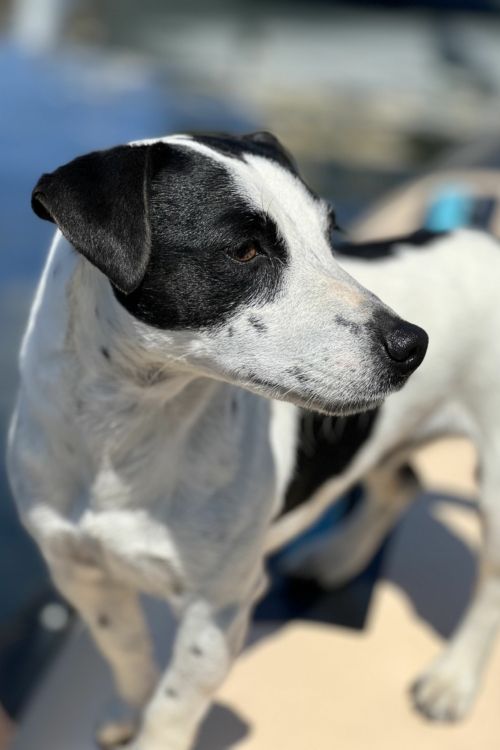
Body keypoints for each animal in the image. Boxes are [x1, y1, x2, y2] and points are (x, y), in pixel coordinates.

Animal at [6, 132, 430, 748]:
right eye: (245, 251)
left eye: (331, 236)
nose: (413, 345)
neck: (128, 434)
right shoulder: (82, 575)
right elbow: (126, 652)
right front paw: (127, 708)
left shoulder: (218, 608)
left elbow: (172, 709)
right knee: (400, 485)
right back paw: (336, 559)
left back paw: (451, 683)